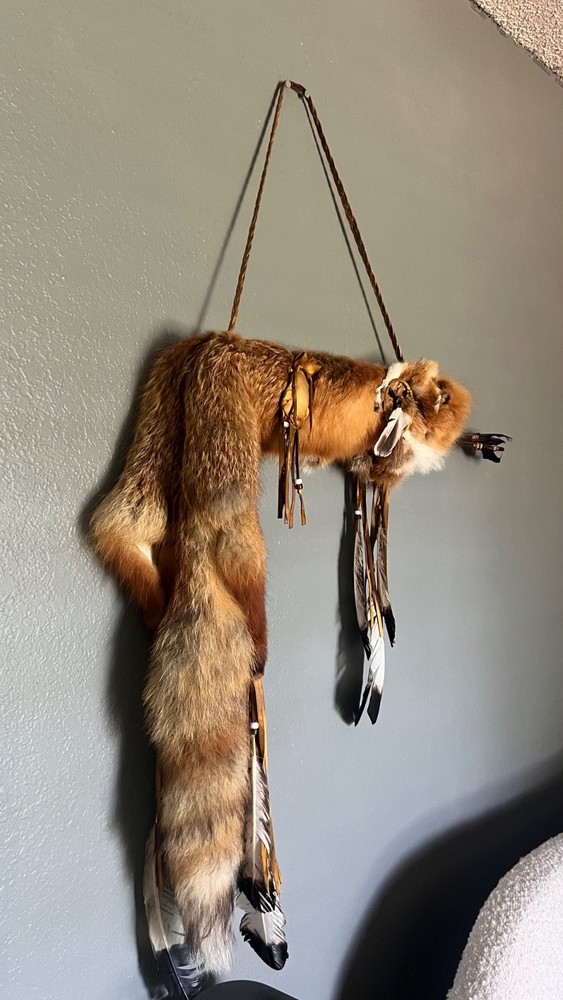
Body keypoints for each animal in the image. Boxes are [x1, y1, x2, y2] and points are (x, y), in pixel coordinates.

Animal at [90, 330, 471, 978]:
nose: (460, 409)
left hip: (156, 433)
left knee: (119, 523)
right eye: (439, 395)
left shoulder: (364, 469)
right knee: (226, 560)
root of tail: (206, 346)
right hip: (223, 472)